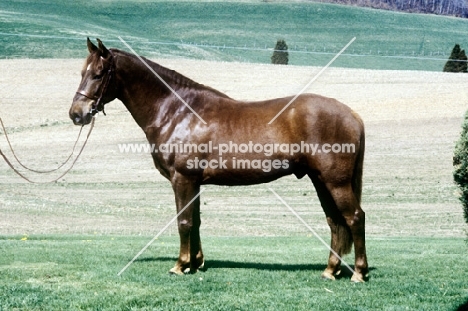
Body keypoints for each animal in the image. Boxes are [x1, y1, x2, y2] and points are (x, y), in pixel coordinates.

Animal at [70, 38, 370, 282]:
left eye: (98, 74)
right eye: (82, 72)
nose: (76, 114)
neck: (178, 112)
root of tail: (352, 115)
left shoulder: (182, 179)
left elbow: (183, 221)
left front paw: (179, 266)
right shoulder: (194, 182)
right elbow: (195, 221)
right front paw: (195, 263)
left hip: (336, 182)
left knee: (355, 217)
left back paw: (359, 272)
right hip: (321, 180)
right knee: (335, 221)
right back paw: (330, 270)